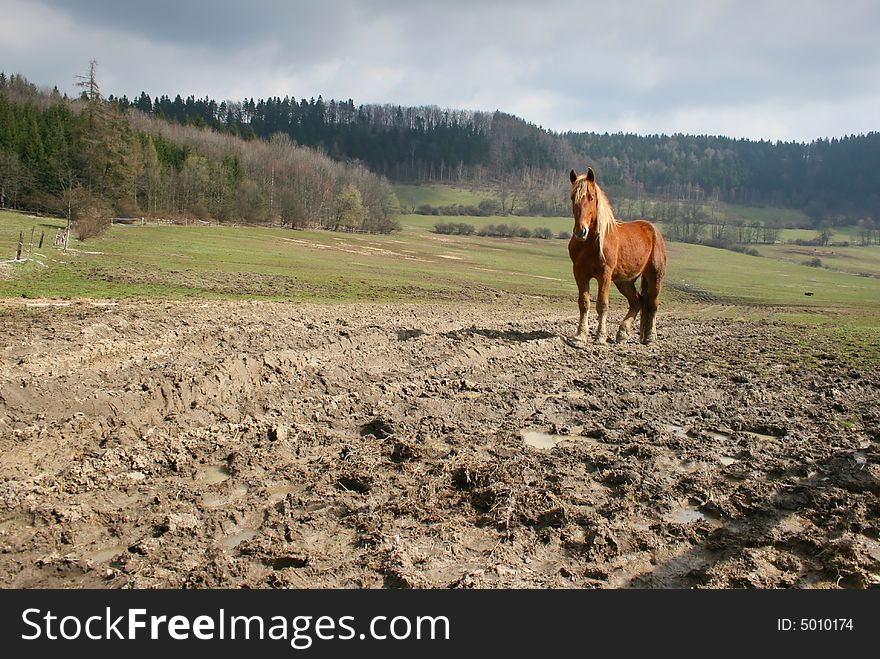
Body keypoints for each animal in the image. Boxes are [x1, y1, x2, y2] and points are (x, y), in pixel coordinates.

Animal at [572, 168, 668, 346]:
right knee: (637, 302)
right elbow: (584, 303)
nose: (581, 231)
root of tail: (654, 230)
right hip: (625, 281)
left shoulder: (605, 275)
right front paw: (579, 337)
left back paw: (650, 337)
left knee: (653, 303)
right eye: (572, 197)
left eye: (591, 197)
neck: (591, 243)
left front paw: (600, 337)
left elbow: (602, 304)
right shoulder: (580, 273)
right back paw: (623, 333)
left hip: (655, 276)